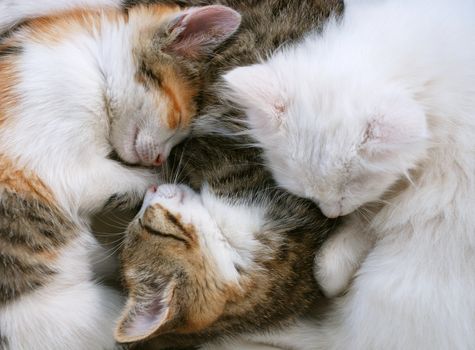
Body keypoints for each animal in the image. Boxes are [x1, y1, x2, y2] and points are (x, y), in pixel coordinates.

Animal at [0, 3, 242, 350]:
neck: (93, 67)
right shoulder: (66, 168)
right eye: (178, 119)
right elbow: (128, 180)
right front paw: (167, 181)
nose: (160, 157)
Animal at [225, 0, 475, 348]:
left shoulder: (395, 200)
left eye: (351, 187)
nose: (331, 213)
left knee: (340, 336)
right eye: (308, 193)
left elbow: (353, 236)